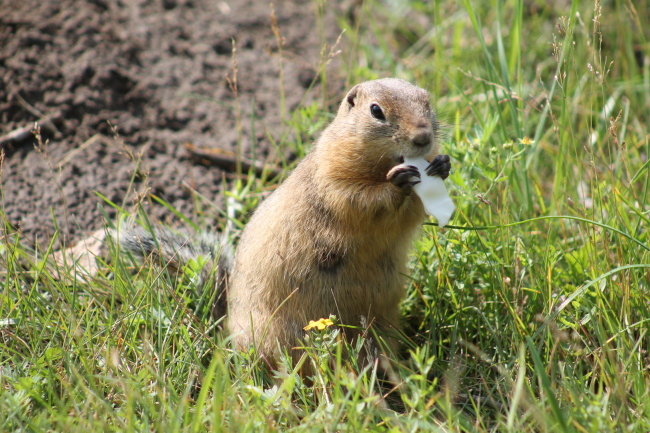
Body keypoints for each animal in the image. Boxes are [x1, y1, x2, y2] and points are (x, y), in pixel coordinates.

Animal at [114, 77, 448, 368]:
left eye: (427, 101)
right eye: (376, 111)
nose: (423, 138)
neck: (380, 164)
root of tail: (225, 329)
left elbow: (414, 214)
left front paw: (443, 164)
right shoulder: (332, 177)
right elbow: (358, 199)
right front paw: (398, 181)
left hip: (383, 322)